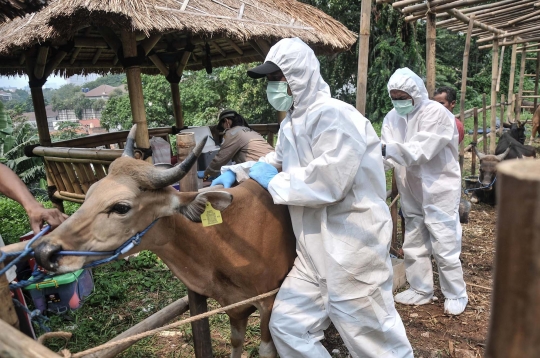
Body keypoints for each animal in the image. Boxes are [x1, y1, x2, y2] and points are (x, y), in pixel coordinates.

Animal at [32, 127, 298, 356]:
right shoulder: (234, 305)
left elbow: (267, 350)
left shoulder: (269, 302)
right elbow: (236, 342)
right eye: (89, 194)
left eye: (121, 207)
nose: (44, 250)